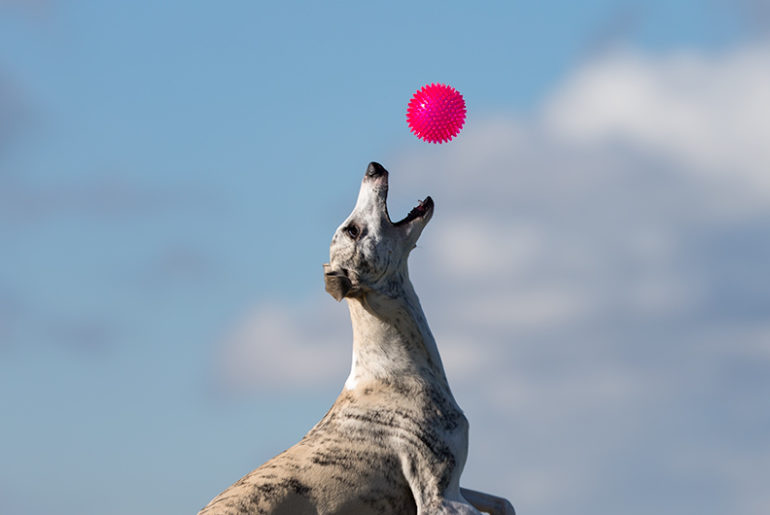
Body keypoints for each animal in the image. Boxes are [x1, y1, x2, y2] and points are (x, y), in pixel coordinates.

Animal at [198, 162, 512, 515]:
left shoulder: (455, 491)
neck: (391, 370)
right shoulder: (441, 497)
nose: (373, 167)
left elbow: (504, 502)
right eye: (352, 230)